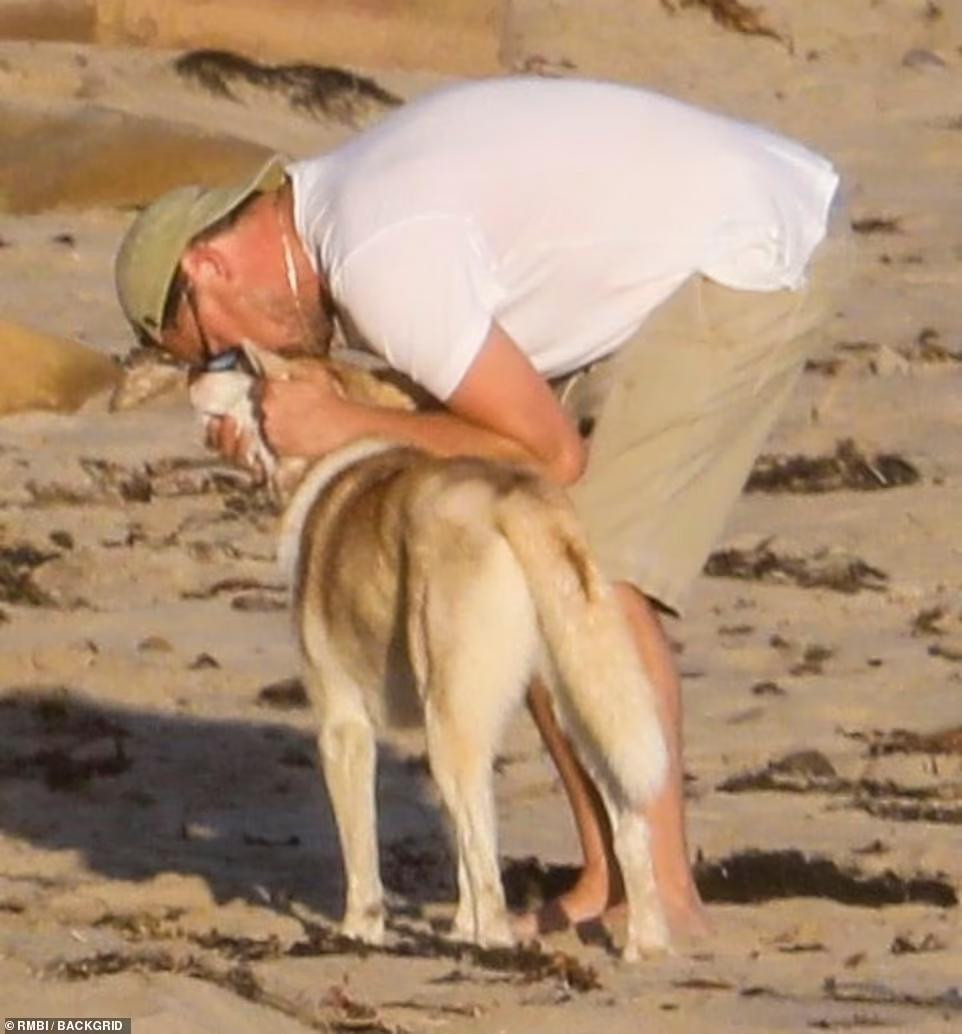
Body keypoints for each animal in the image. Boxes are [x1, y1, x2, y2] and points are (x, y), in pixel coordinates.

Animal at [189, 344, 670, 960]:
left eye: (237, 363)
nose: (191, 370)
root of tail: (513, 499)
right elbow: (456, 849)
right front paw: (456, 924)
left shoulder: (343, 727)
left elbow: (363, 853)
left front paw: (359, 931)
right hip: (584, 706)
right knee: (627, 825)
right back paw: (644, 945)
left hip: (452, 727)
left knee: (490, 874)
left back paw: (491, 945)